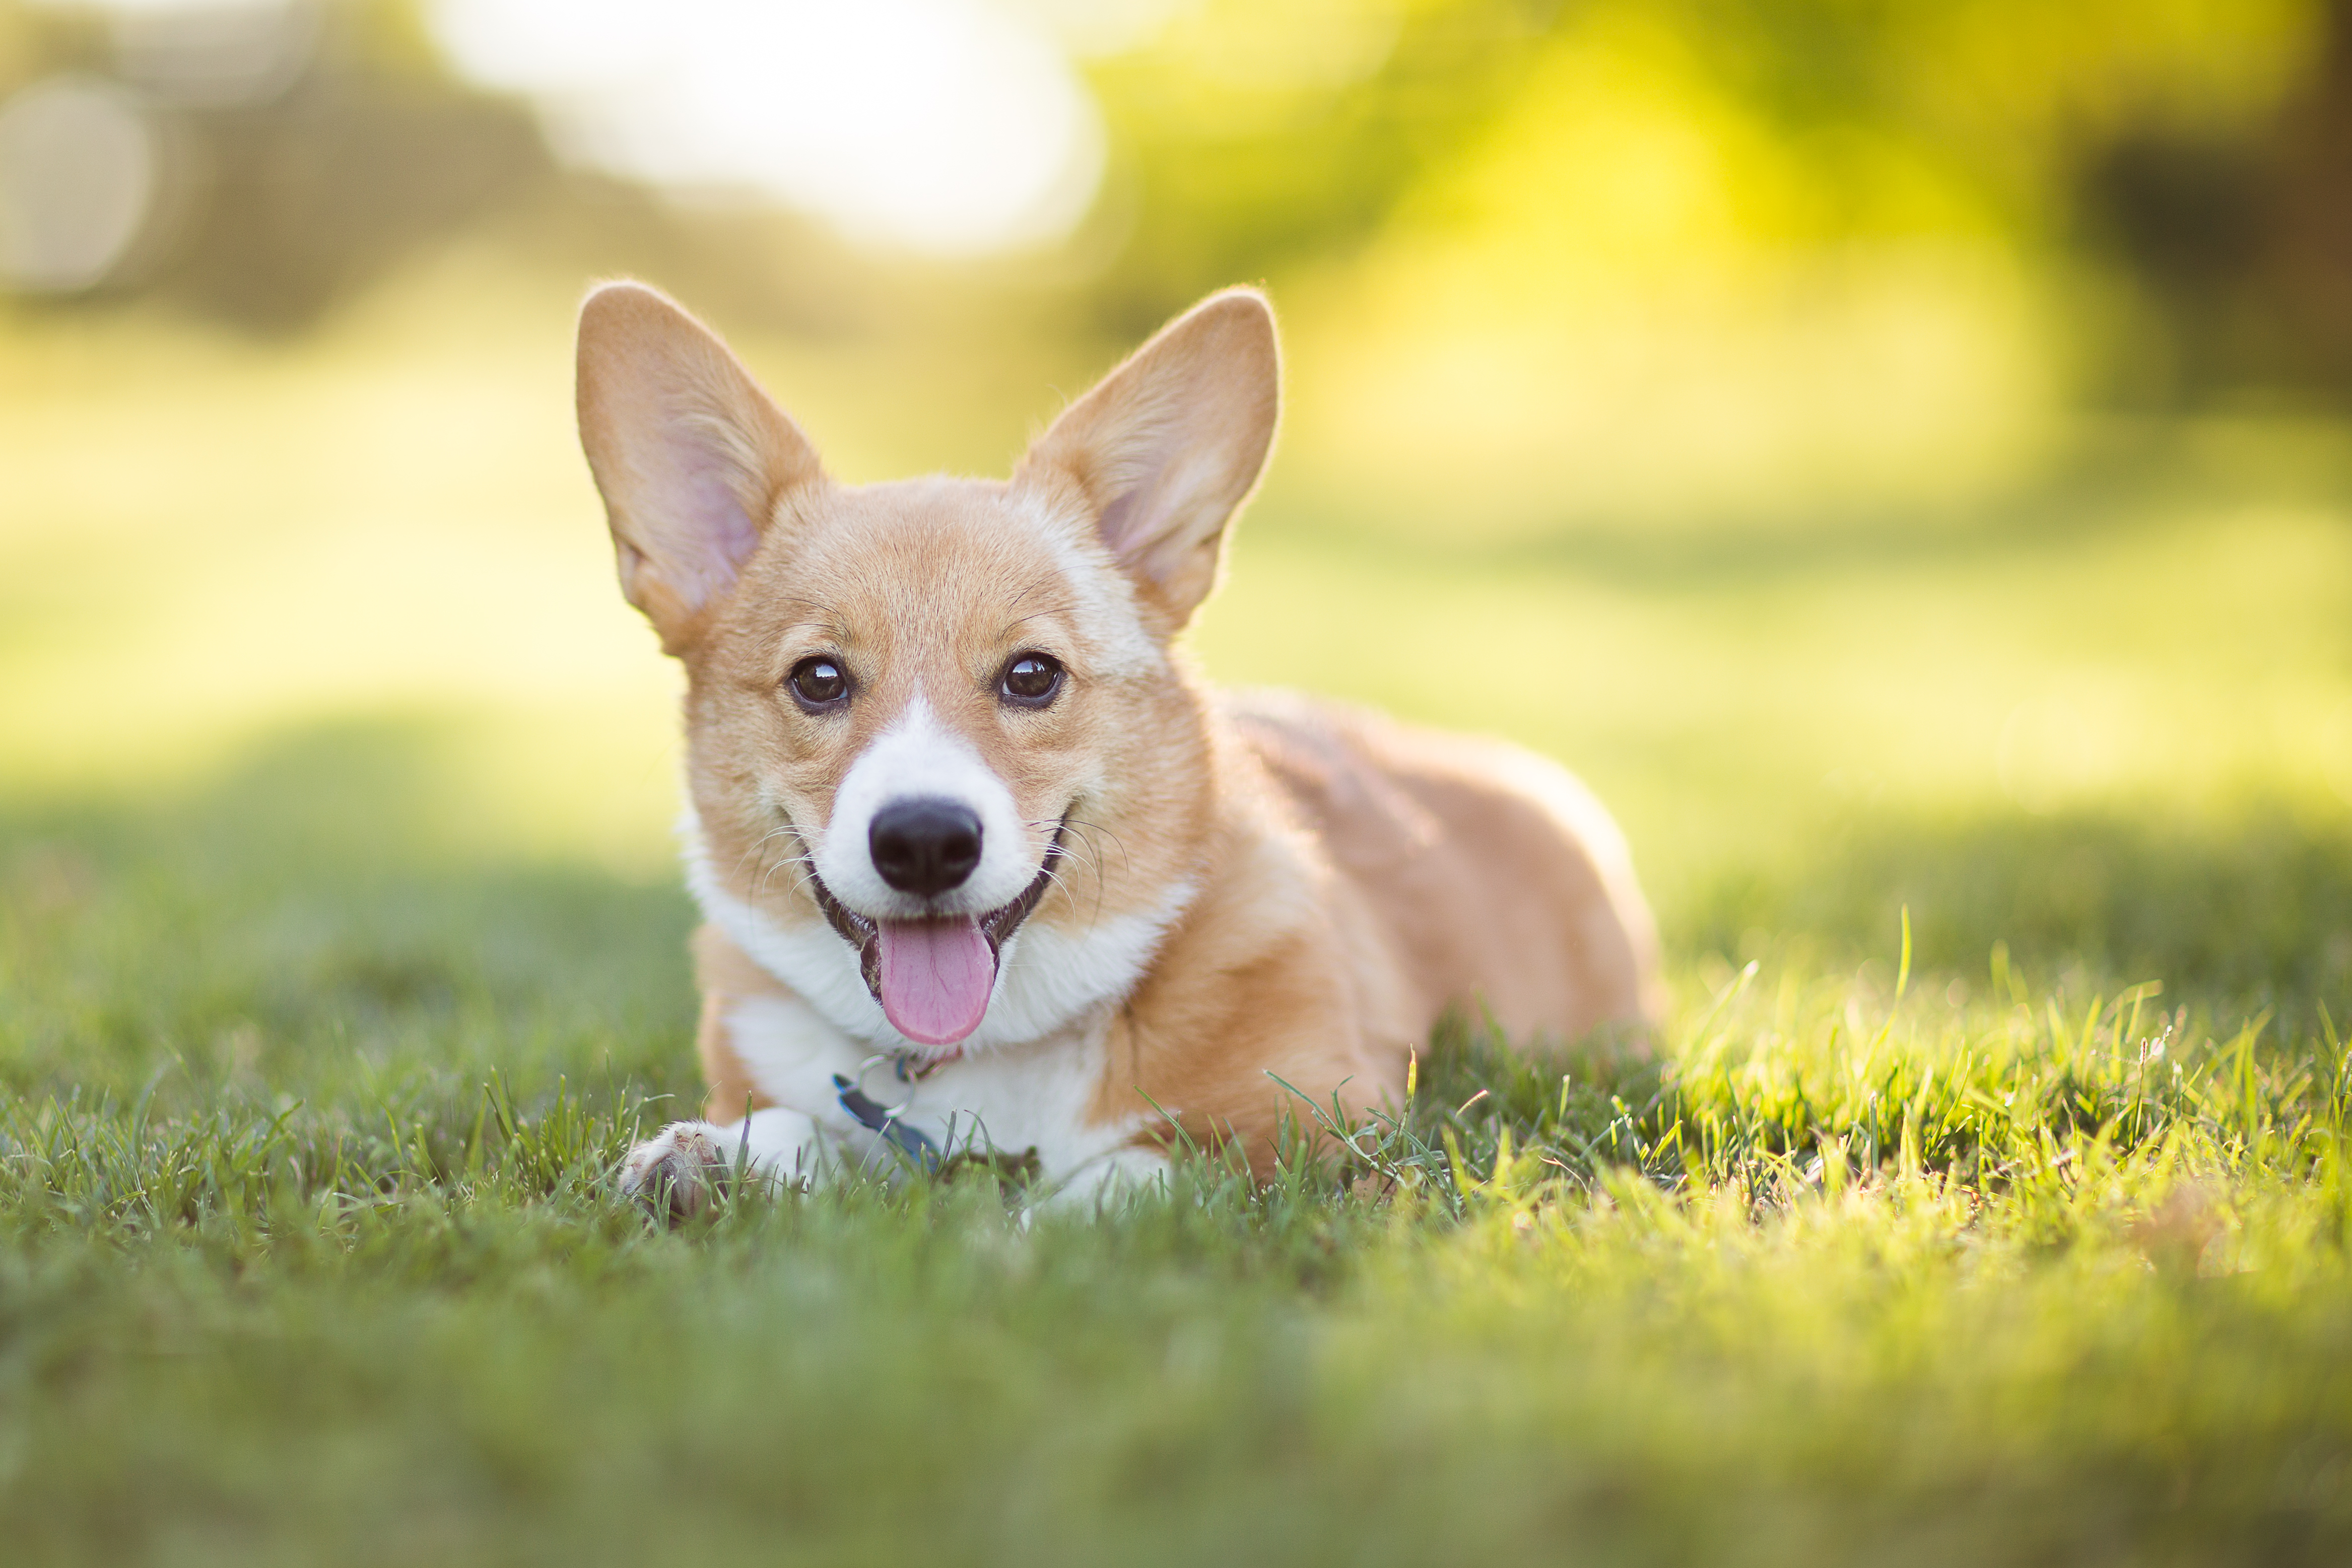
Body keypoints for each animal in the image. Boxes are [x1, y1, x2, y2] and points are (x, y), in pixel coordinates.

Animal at [578, 286, 1665, 1213]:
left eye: (1031, 674)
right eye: (817, 679)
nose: (925, 843)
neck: (979, 1053)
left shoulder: (1333, 1129)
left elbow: (1137, 1168)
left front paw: (1028, 1224)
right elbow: (800, 1123)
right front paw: (709, 1157)